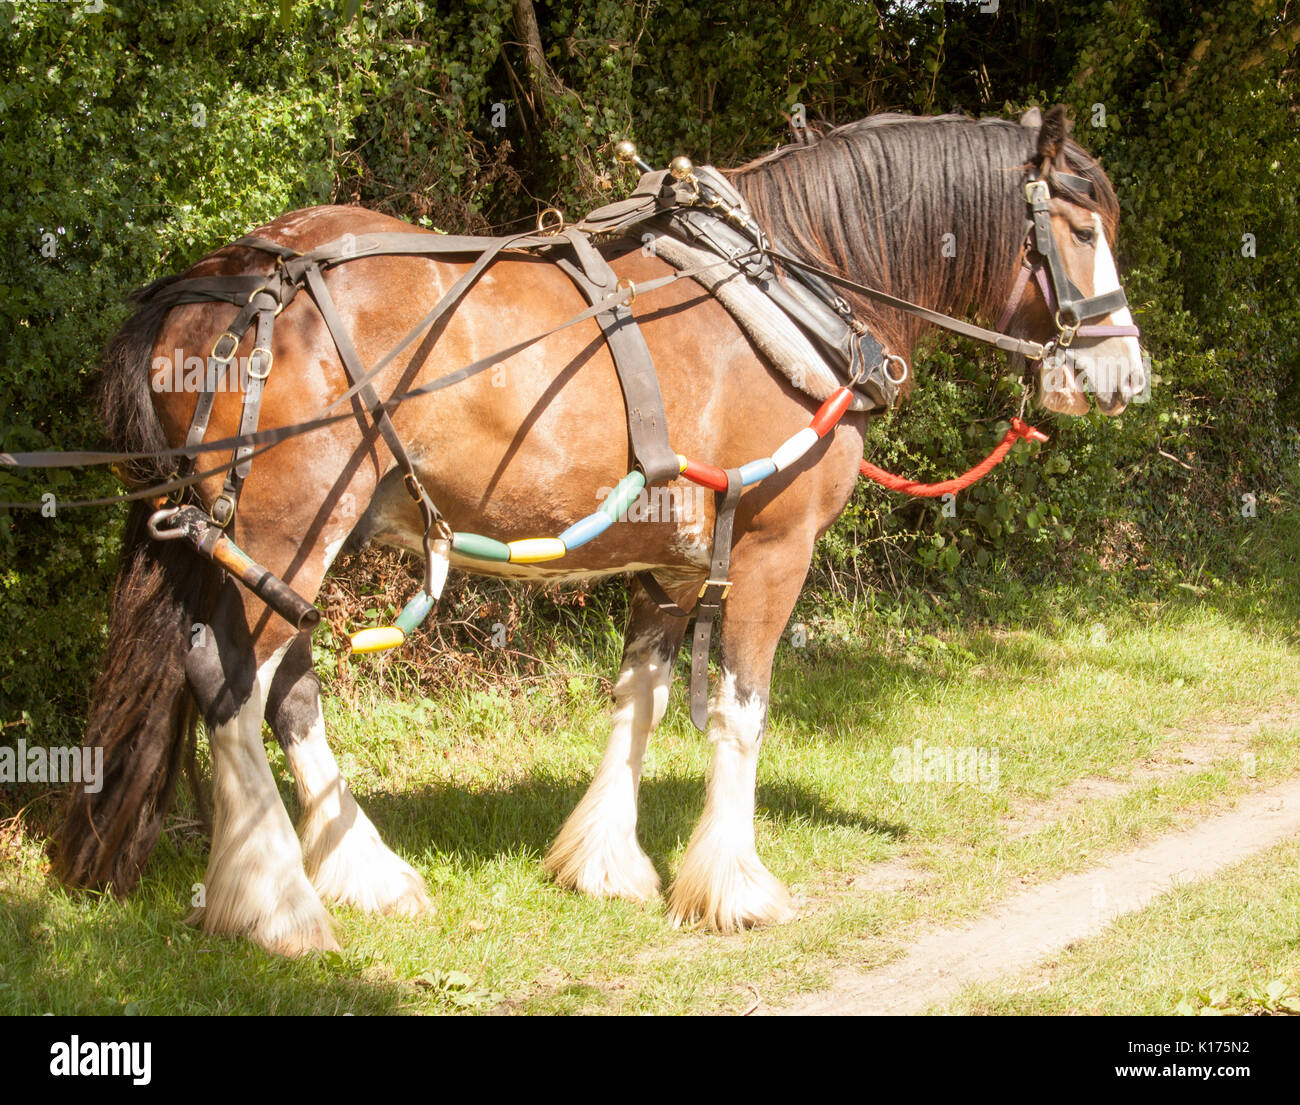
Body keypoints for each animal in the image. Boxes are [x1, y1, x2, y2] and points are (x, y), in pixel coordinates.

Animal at [50, 106, 1144, 955]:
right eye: (1081, 226)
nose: (1125, 374)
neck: (793, 283)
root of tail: (223, 277)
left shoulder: (671, 561)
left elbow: (640, 700)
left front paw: (605, 861)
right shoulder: (773, 550)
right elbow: (742, 710)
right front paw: (733, 884)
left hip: (306, 534)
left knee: (289, 693)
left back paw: (369, 871)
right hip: (285, 533)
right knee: (228, 683)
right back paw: (279, 904)